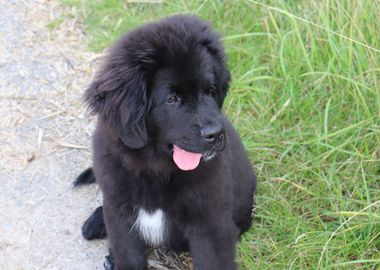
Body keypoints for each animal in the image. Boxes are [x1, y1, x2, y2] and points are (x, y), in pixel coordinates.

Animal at [76, 14, 256, 270]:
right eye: (172, 99)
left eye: (210, 90)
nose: (217, 133)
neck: (155, 169)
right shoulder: (120, 216)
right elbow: (129, 256)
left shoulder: (211, 224)